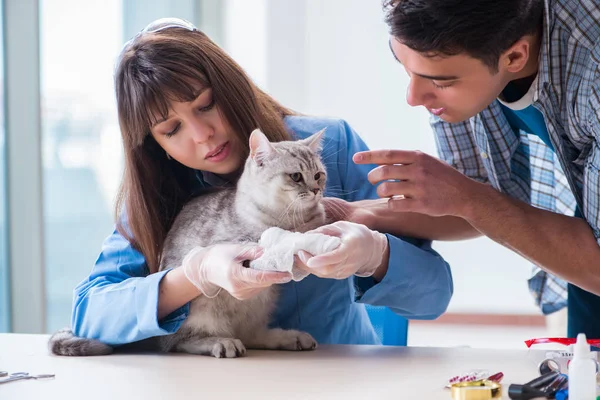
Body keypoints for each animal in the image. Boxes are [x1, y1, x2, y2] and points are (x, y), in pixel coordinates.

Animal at [48, 129, 328, 360]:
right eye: (296, 176)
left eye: (318, 175)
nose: (316, 190)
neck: (285, 216)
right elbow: (277, 237)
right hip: (202, 313)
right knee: (179, 341)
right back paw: (221, 342)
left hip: (259, 306)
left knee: (252, 334)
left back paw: (289, 337)